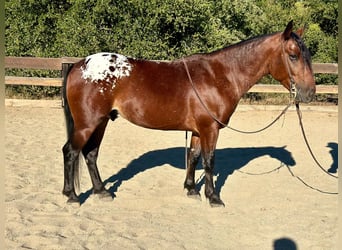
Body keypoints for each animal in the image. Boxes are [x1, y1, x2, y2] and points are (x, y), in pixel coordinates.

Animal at [62, 20, 316, 206]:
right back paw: (72, 195)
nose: (310, 92)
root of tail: (78, 65)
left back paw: (101, 191)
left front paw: (191, 189)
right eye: (293, 55)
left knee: (90, 154)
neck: (220, 75)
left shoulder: (197, 130)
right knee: (71, 152)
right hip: (88, 124)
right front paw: (213, 197)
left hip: (101, 121)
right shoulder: (210, 129)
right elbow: (209, 160)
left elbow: (193, 156)